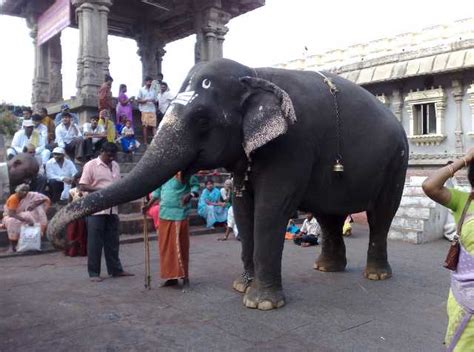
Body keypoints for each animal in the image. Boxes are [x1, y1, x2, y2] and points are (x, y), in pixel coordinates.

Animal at [50, 57, 410, 310]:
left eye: (202, 120)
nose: (60, 240)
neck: (254, 73)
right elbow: (242, 207)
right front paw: (241, 286)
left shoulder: (293, 144)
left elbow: (270, 208)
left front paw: (261, 303)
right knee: (329, 216)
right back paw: (326, 269)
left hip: (398, 161)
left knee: (380, 216)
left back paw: (376, 275)